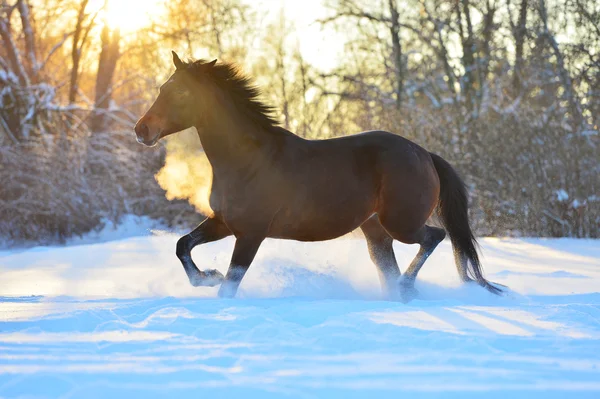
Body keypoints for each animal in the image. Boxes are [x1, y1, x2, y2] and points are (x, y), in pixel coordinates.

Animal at [135, 51, 502, 302]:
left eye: (181, 93)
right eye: (163, 87)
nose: (142, 130)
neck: (248, 160)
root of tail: (425, 154)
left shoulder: (251, 233)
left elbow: (231, 282)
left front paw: (214, 282)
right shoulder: (224, 222)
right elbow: (183, 245)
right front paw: (207, 276)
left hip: (401, 224)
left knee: (435, 237)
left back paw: (408, 286)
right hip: (376, 231)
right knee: (392, 266)